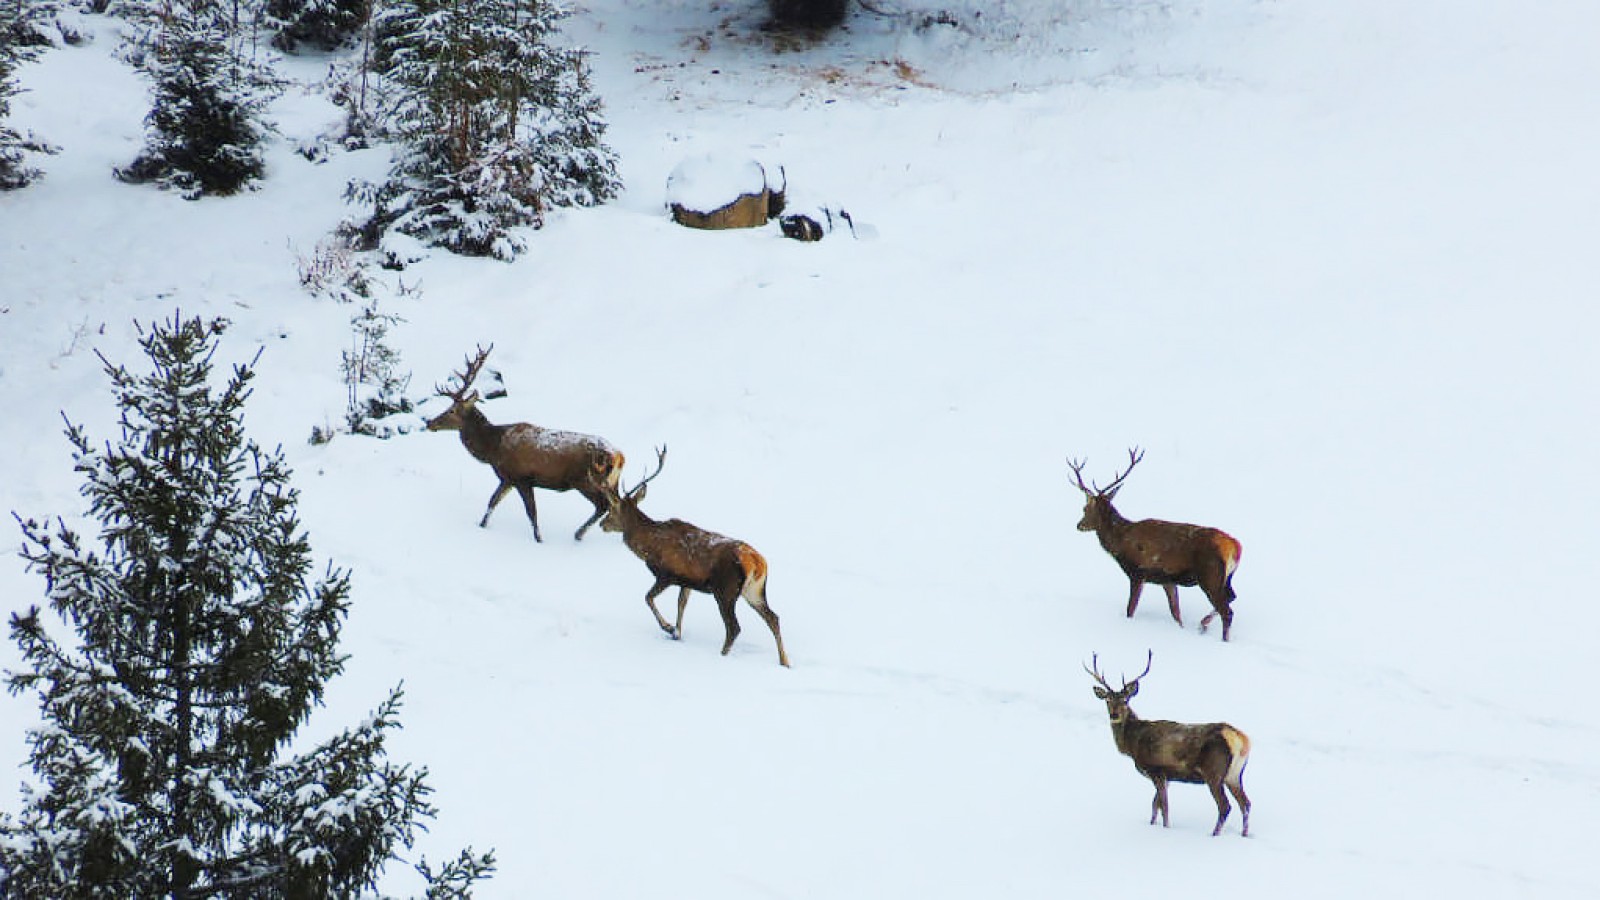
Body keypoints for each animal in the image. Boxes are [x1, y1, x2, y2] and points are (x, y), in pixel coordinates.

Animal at [425, 342, 624, 538]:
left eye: (451, 410)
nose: (430, 422)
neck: (493, 449)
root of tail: (619, 457)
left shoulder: (522, 477)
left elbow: (532, 513)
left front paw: (539, 539)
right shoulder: (507, 478)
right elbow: (492, 501)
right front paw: (482, 525)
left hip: (586, 480)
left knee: (603, 505)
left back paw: (578, 534)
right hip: (612, 483)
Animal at [598, 448, 790, 666]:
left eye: (612, 509)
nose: (602, 524)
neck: (648, 545)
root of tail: (758, 563)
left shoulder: (666, 574)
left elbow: (648, 597)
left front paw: (668, 627)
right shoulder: (687, 581)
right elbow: (681, 605)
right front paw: (677, 634)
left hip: (725, 590)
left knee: (734, 627)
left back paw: (722, 655)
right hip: (754, 591)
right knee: (773, 618)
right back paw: (785, 661)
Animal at [1068, 448, 1241, 637]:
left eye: (1085, 508)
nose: (1079, 525)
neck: (1119, 542)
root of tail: (1235, 547)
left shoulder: (1138, 572)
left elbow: (1131, 609)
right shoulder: (1167, 580)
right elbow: (1176, 614)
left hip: (1210, 575)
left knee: (1227, 611)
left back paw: (1211, 630)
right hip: (1226, 577)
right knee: (1232, 597)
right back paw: (1203, 624)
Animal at [1088, 650, 1248, 832]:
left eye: (1125, 700)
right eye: (1107, 700)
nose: (1114, 715)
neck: (1132, 745)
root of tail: (1239, 739)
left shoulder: (1156, 770)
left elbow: (1163, 807)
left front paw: (1165, 829)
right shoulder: (1167, 777)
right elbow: (1155, 805)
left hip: (1214, 772)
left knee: (1225, 806)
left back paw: (1214, 834)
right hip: (1234, 775)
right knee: (1246, 804)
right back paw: (1244, 833)